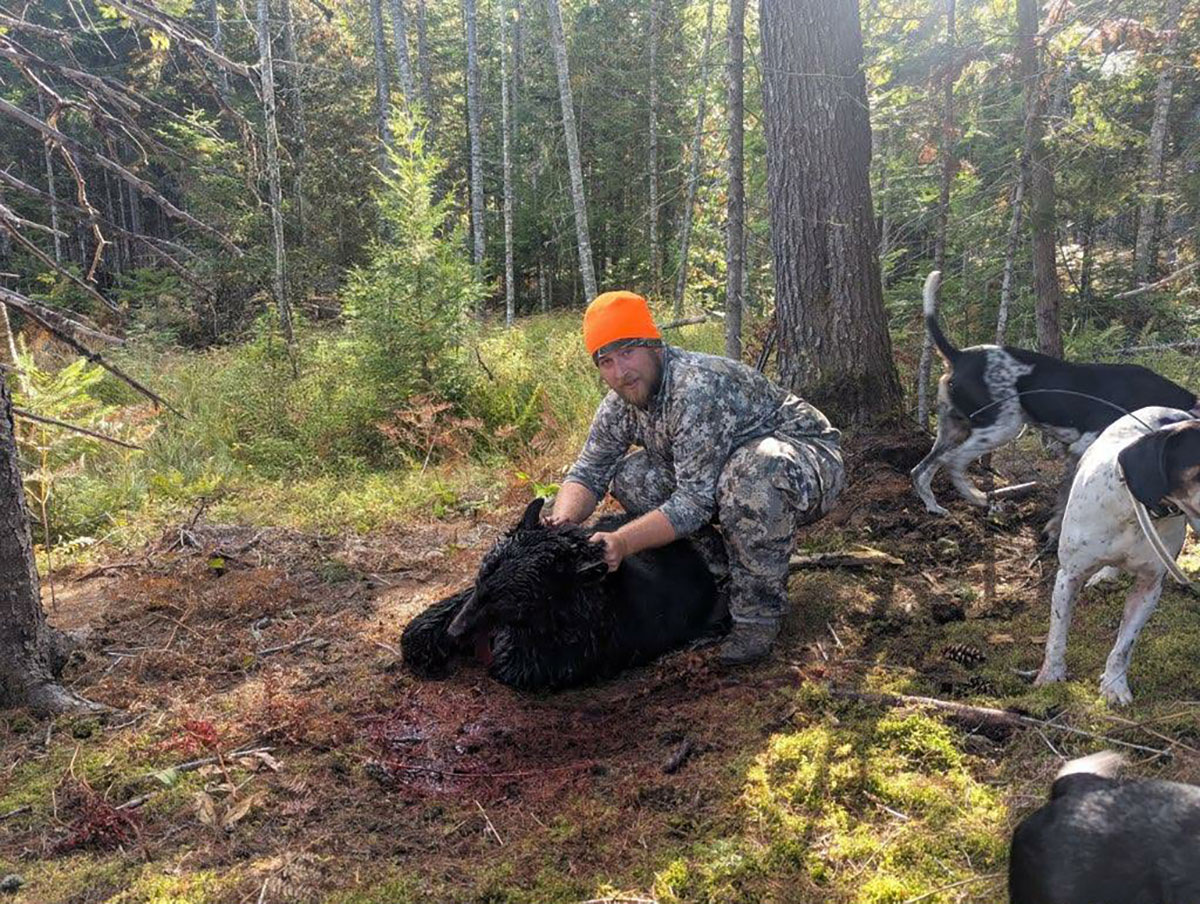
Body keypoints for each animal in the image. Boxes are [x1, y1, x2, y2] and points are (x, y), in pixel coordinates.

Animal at [911, 271, 1197, 520]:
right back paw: (976, 497)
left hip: (952, 429)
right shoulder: (1085, 443)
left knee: (920, 470)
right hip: (1001, 427)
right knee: (952, 463)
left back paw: (934, 507)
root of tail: (959, 356)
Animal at [1033, 406, 1200, 704]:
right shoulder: (1069, 576)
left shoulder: (1148, 587)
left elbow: (1124, 646)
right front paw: (1051, 675)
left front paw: (1114, 685)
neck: (1135, 513)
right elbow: (1057, 636)